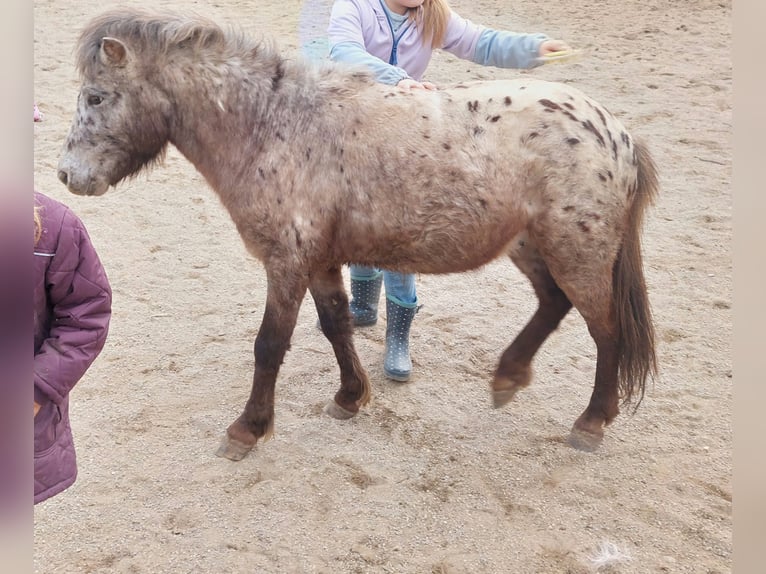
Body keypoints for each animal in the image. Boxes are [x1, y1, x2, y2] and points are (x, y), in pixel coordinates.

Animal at [58, 6, 660, 462]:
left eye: (96, 97)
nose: (67, 175)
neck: (276, 125)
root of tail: (617, 132)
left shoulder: (286, 262)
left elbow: (269, 345)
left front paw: (248, 429)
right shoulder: (319, 260)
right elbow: (336, 325)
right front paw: (350, 397)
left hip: (577, 250)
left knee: (606, 329)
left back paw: (590, 422)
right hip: (532, 245)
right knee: (554, 303)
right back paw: (508, 378)